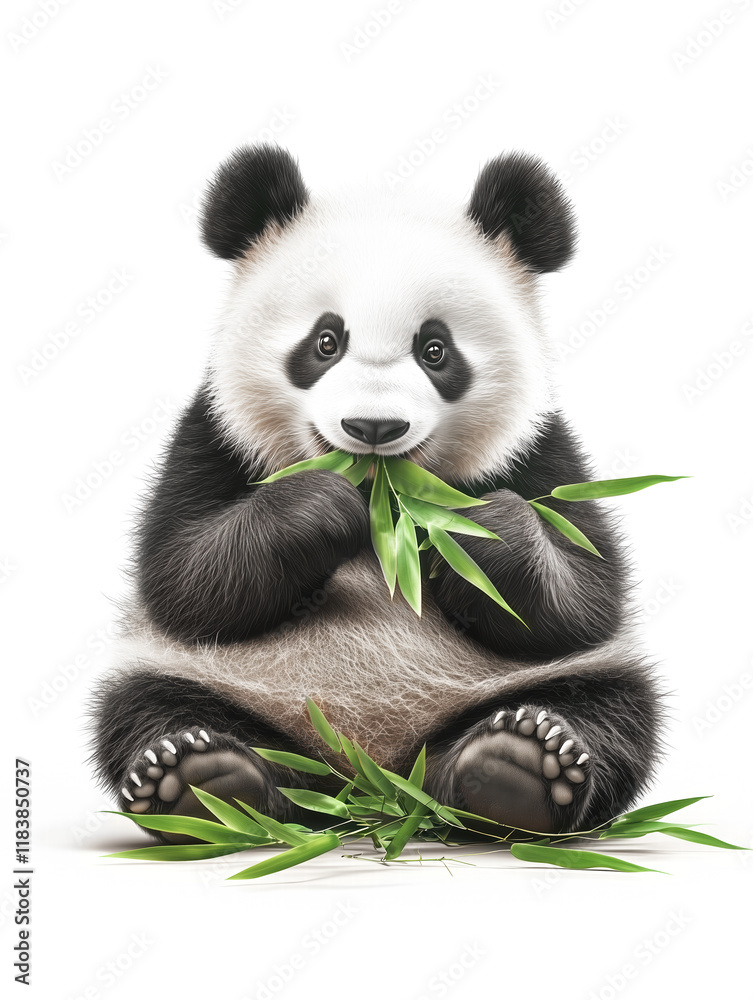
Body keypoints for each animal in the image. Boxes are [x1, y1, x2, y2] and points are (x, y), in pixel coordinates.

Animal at [92, 144, 662, 839]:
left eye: (435, 349)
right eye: (325, 341)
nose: (373, 428)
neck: (382, 506)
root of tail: (372, 787)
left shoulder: (539, 448)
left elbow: (583, 595)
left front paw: (469, 531)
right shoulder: (213, 434)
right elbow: (182, 577)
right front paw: (315, 508)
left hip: (525, 687)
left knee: (610, 709)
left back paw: (516, 769)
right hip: (203, 675)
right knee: (145, 708)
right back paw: (201, 783)